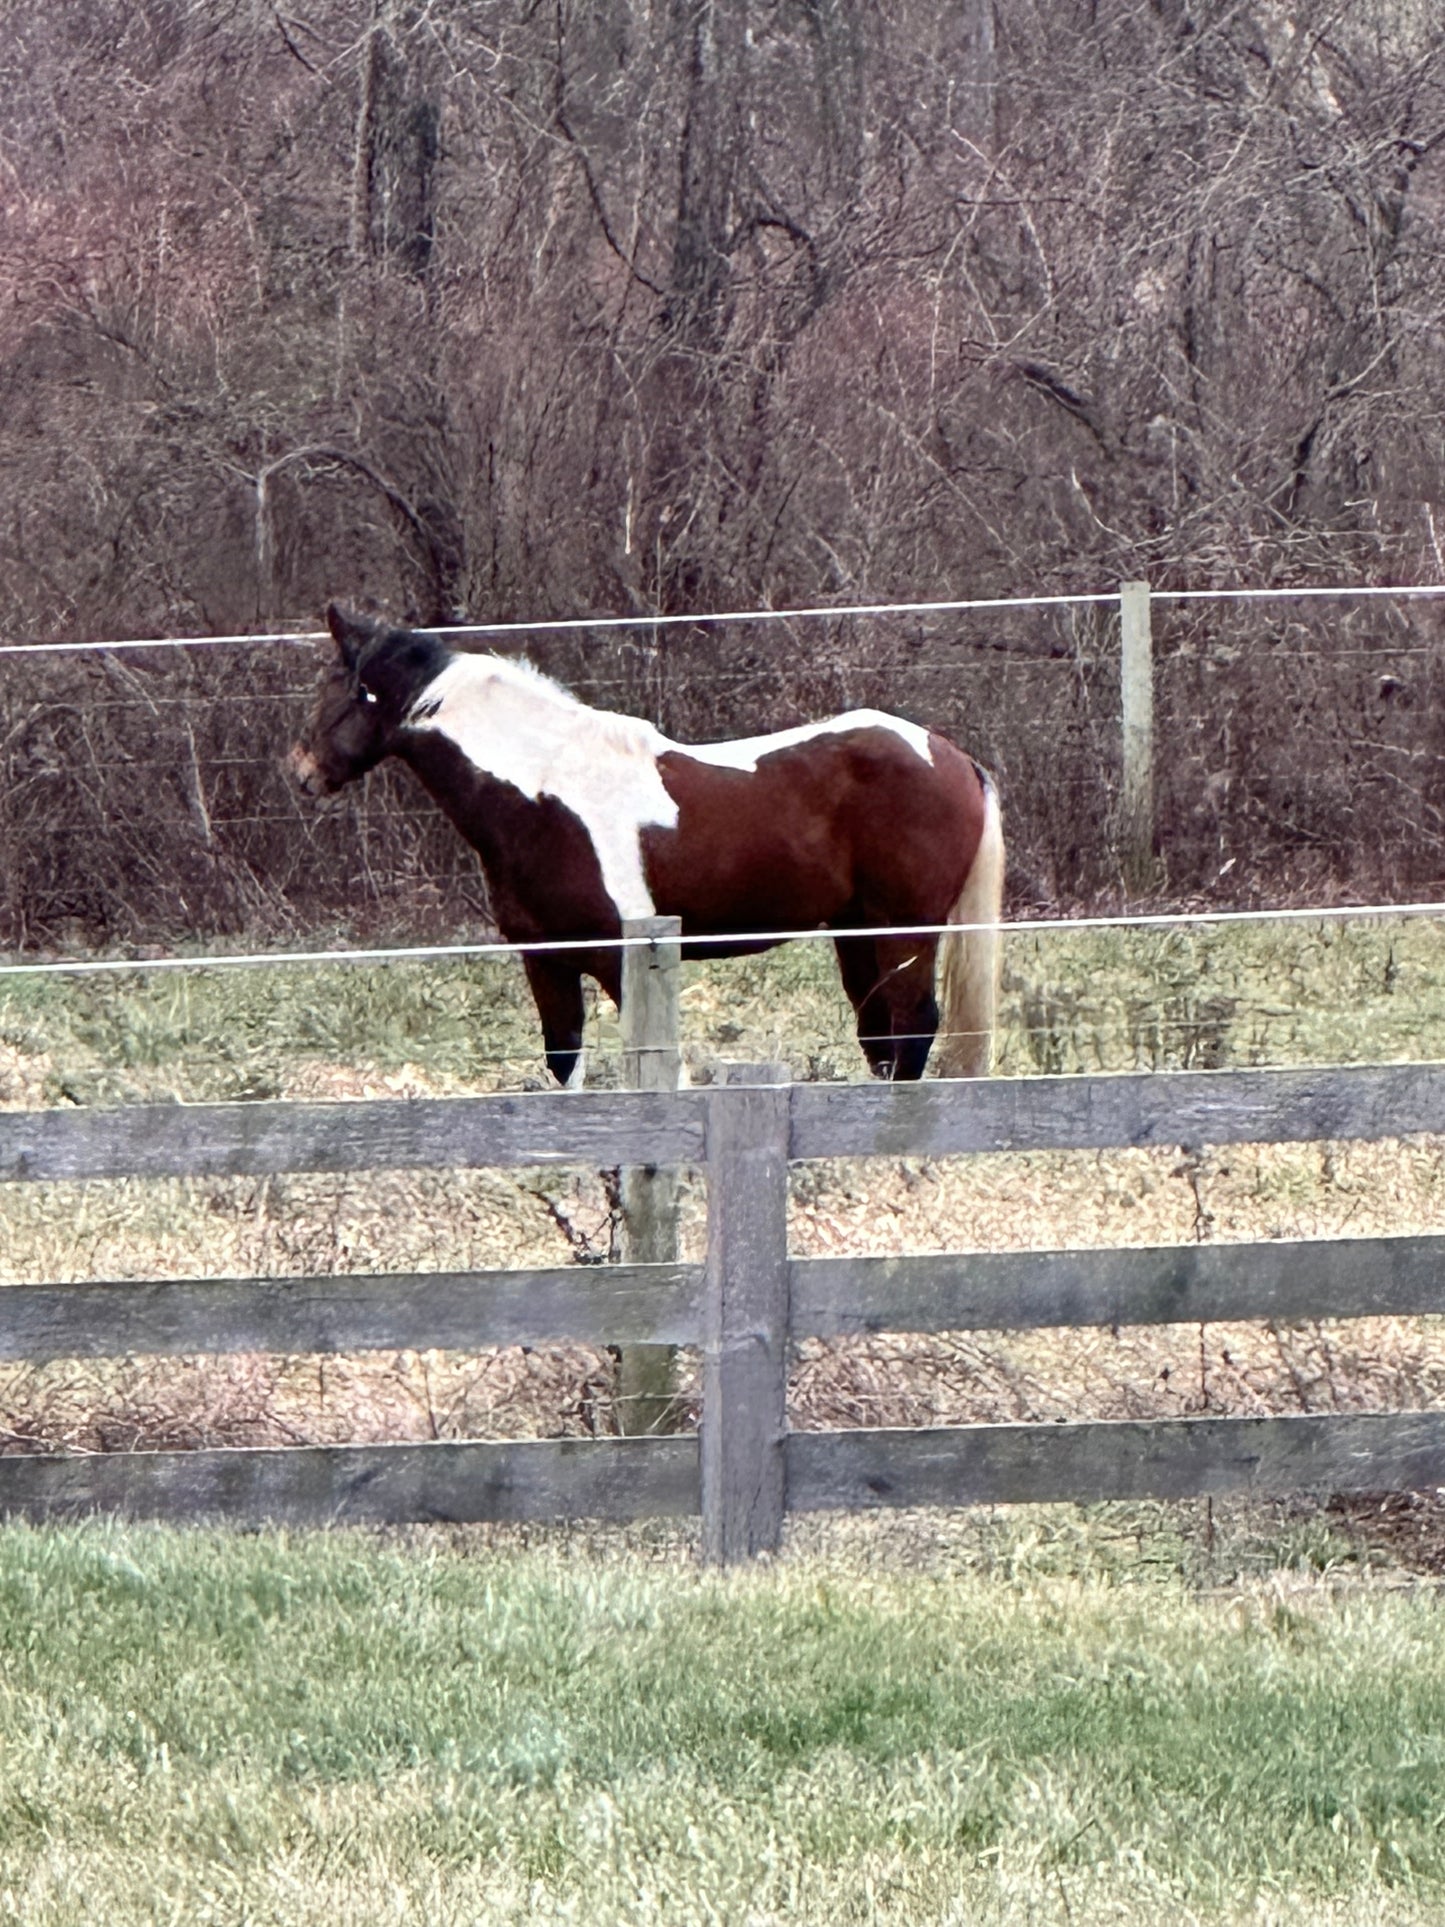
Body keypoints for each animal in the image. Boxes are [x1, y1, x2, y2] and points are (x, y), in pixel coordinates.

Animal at [285, 605, 1009, 1086]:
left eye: (341, 689)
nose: (301, 772)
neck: (542, 792)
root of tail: (951, 756)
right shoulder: (546, 959)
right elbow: (564, 1061)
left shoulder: (619, 958)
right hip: (856, 932)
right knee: (879, 1035)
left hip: (904, 930)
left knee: (912, 1027)